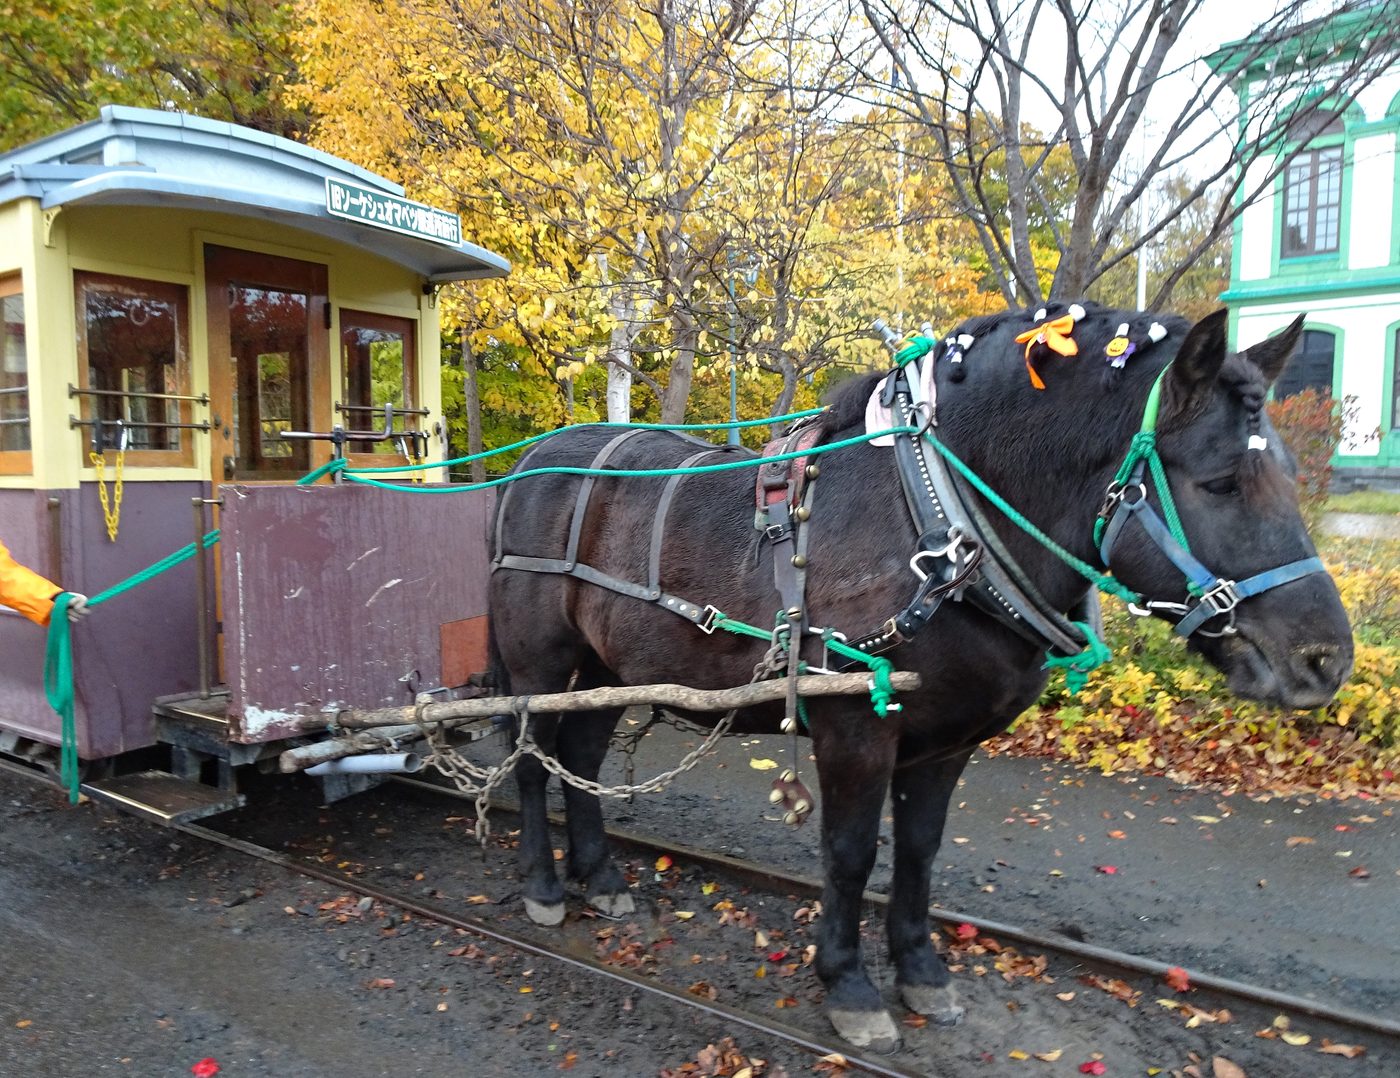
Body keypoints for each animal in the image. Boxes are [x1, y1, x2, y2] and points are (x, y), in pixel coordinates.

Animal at [486, 303, 1353, 1052]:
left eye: (1289, 472)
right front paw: (849, 987)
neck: (940, 525)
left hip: (609, 667)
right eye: (1221, 481)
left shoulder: (946, 743)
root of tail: (526, 463)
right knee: (531, 762)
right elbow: (849, 854)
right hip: (540, 662)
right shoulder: (855, 730)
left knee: (581, 758)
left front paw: (922, 972)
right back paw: (544, 886)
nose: (1326, 660)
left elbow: (920, 852)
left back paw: (600, 877)